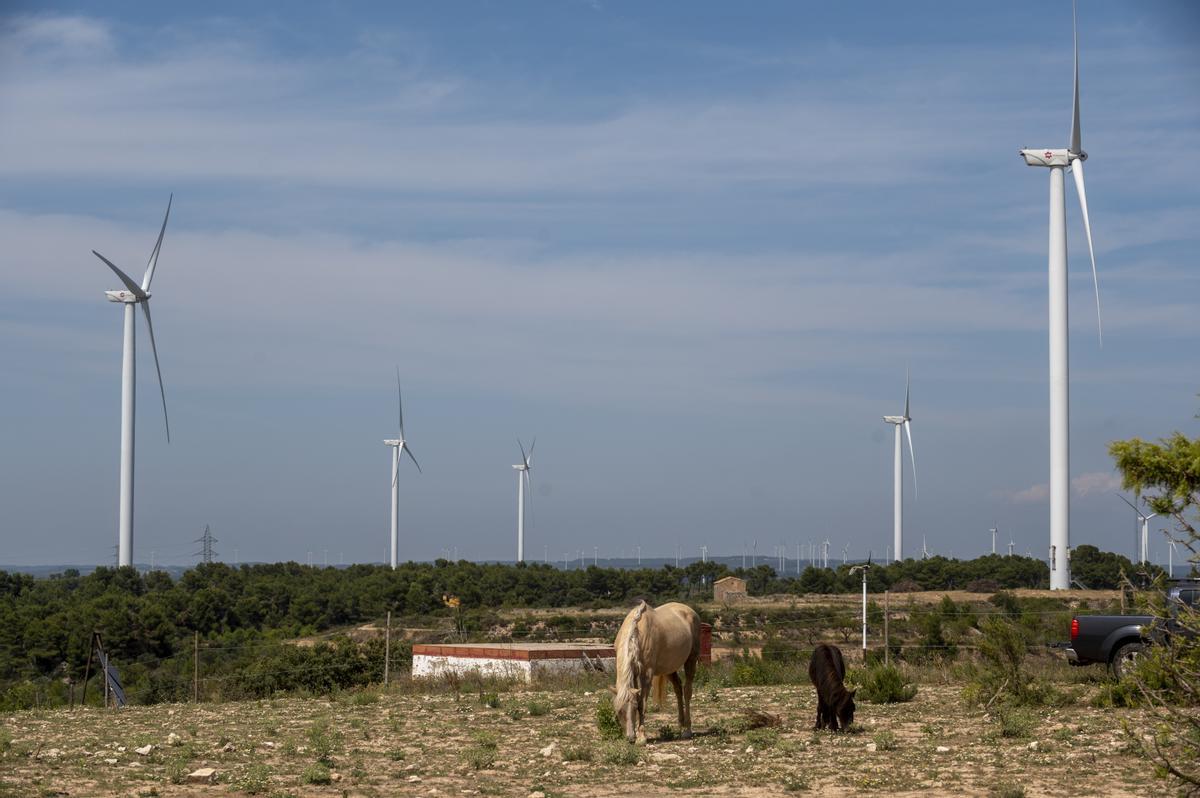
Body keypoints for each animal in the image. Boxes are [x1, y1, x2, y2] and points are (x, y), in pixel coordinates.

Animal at [609, 600, 700, 744]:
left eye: (634, 708)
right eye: (618, 711)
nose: (630, 738)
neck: (637, 634)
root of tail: (690, 611)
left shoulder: (646, 674)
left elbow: (643, 703)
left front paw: (641, 737)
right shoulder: (634, 674)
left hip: (691, 660)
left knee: (687, 691)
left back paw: (687, 730)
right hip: (670, 668)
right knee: (678, 688)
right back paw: (681, 725)